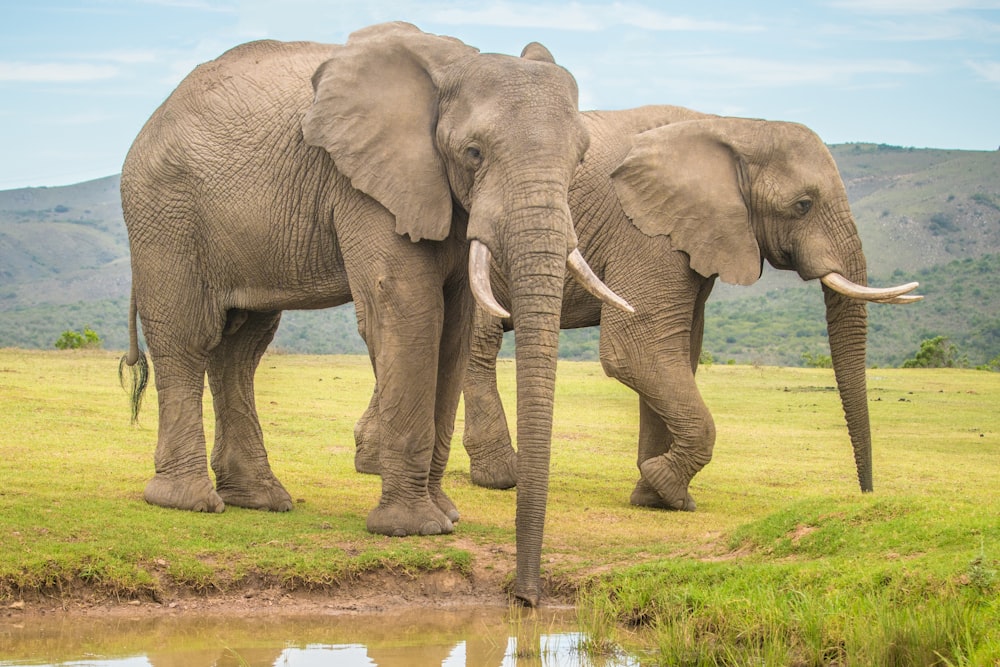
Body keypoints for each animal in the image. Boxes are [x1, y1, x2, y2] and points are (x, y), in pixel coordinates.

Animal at [121, 20, 628, 608]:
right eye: (473, 152)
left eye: (580, 159)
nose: (525, 600)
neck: (452, 68)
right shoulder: (367, 184)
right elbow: (410, 311)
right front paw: (414, 529)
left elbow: (454, 329)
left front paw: (447, 516)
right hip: (164, 212)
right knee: (188, 339)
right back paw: (187, 501)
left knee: (241, 348)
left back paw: (261, 499)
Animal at [354, 104, 920, 512]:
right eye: (803, 205)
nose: (866, 495)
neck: (731, 125)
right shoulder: (646, 233)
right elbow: (638, 351)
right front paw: (664, 484)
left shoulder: (688, 239)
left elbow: (678, 354)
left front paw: (657, 496)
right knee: (478, 339)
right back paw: (500, 478)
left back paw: (371, 462)